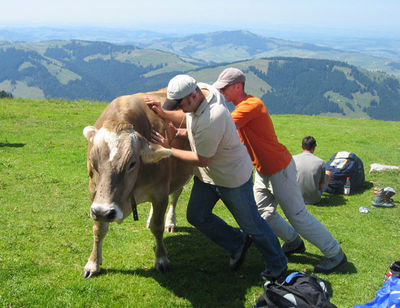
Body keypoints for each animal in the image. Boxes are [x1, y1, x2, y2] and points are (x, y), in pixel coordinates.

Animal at [81, 89, 192, 280]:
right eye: (92, 161)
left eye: (132, 163)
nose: (104, 211)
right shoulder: (94, 193)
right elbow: (99, 229)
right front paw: (93, 263)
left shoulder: (160, 192)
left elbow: (157, 227)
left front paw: (161, 260)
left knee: (175, 196)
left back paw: (171, 222)